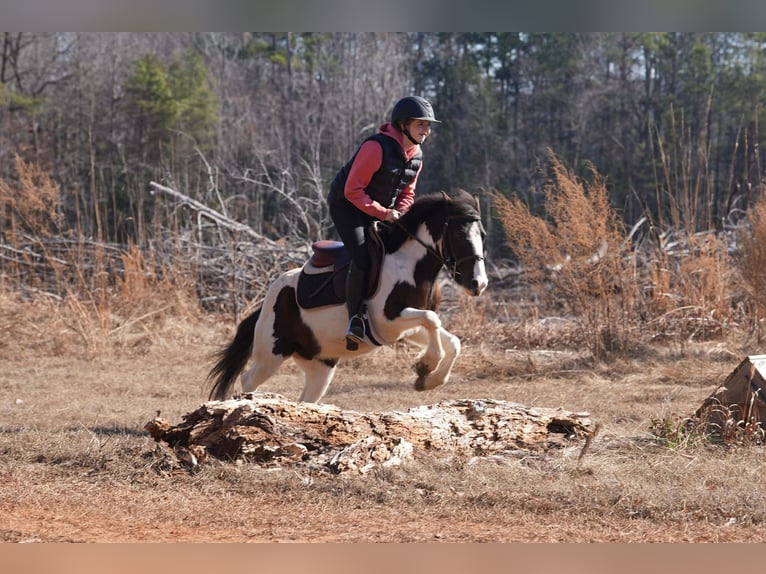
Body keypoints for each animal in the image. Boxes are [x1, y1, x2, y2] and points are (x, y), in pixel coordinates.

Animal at [207, 188, 488, 404]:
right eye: (459, 235)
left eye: (483, 235)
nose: (479, 283)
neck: (409, 265)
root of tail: (267, 301)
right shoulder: (388, 321)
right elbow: (432, 319)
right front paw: (425, 366)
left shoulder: (404, 328)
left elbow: (449, 339)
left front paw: (428, 379)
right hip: (272, 352)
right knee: (248, 379)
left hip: (321, 364)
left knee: (306, 399)